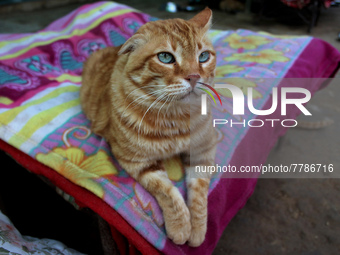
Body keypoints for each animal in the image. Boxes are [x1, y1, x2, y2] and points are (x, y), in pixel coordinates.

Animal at [81, 8, 216, 247]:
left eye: (203, 56)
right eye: (165, 57)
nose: (194, 77)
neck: (176, 116)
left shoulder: (204, 152)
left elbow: (199, 195)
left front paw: (198, 230)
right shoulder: (137, 161)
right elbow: (167, 191)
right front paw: (181, 227)